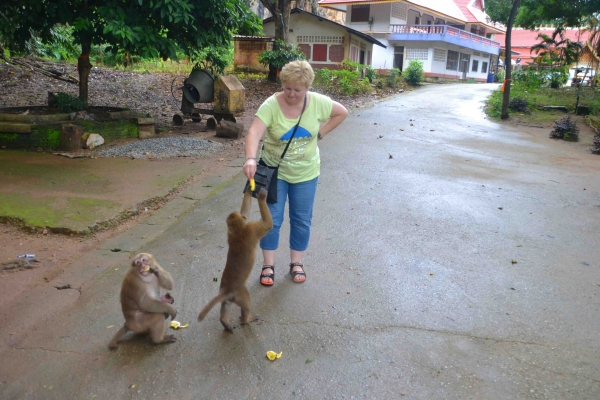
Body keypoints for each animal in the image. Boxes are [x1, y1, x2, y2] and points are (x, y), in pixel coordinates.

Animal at [198, 188, 274, 332]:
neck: (238, 230)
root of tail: (227, 289)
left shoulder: (231, 233)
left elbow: (245, 210)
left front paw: (249, 189)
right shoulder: (252, 229)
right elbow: (268, 224)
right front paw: (261, 197)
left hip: (229, 298)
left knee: (225, 306)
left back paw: (225, 323)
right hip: (241, 295)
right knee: (246, 304)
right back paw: (246, 319)